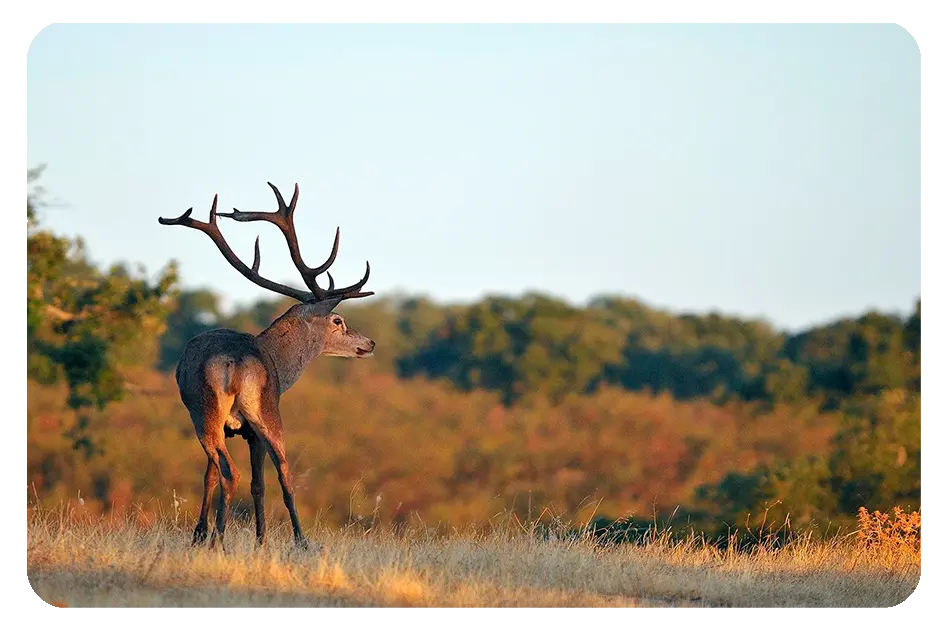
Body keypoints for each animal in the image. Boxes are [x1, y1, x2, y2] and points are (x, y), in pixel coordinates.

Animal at [157, 183, 374, 552]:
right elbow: (255, 482)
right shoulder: (251, 429)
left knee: (236, 471)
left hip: (209, 414)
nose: (370, 343)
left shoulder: (241, 430)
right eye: (338, 321)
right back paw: (276, 540)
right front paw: (252, 539)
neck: (278, 363)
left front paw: (211, 534)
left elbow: (219, 476)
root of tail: (235, 362)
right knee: (271, 473)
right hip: (258, 411)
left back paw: (222, 537)